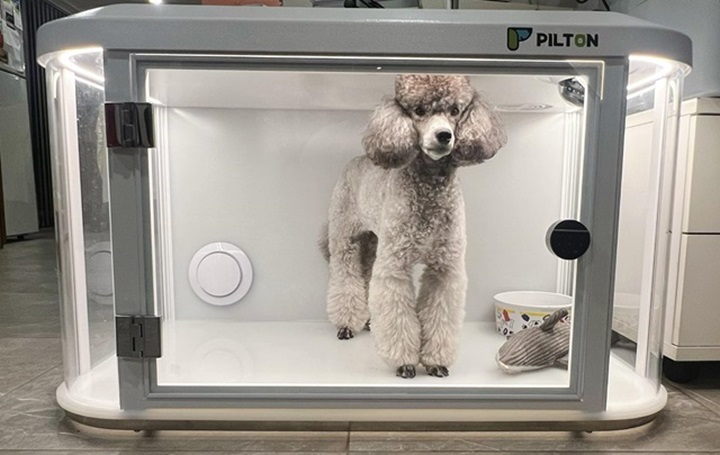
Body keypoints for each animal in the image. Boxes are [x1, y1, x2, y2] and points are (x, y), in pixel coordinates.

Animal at [320, 75, 506, 380]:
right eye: (419, 110)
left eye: (455, 111)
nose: (444, 135)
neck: (429, 184)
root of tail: (358, 159)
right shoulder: (395, 264)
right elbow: (397, 313)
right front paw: (404, 362)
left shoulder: (445, 266)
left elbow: (438, 312)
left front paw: (435, 362)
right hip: (345, 236)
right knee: (345, 275)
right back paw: (347, 323)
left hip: (375, 241)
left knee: (368, 274)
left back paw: (369, 321)